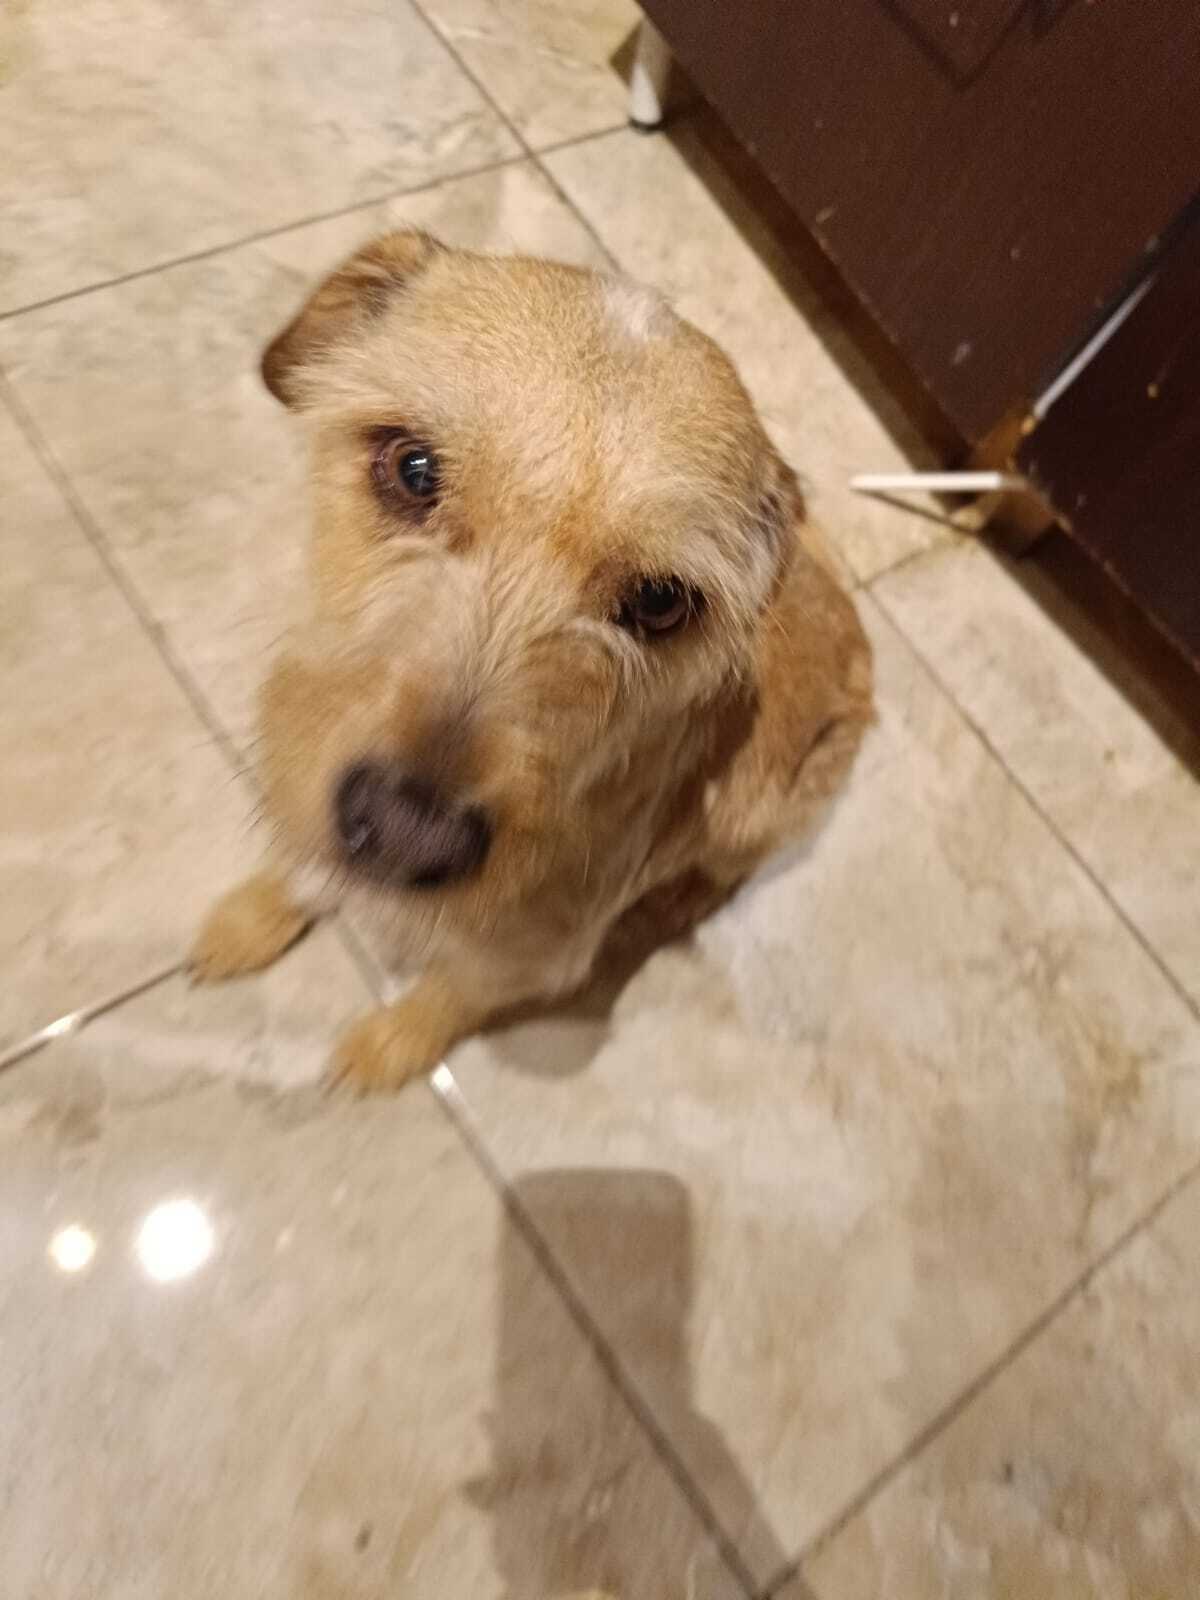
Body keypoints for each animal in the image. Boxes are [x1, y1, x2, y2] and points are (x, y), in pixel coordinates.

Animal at [189, 231, 873, 1092]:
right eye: (411, 468)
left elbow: (446, 995)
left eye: (660, 601)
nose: (406, 834)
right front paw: (253, 918)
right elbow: (302, 862)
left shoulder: (529, 956)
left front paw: (389, 1047)